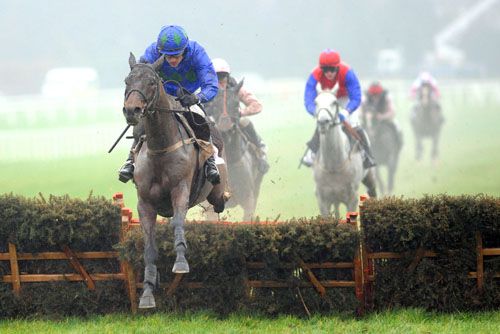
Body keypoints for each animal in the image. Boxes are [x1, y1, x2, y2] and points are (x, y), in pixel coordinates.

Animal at [123, 54, 229, 308]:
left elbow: (178, 223)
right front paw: (147, 292)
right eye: (126, 81)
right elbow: (149, 246)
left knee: (219, 200)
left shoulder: (180, 189)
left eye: (152, 82)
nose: (132, 110)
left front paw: (180, 262)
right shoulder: (145, 203)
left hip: (216, 190)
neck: (160, 148)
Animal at [310, 90, 376, 219]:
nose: (323, 121)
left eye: (334, 102)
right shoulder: (322, 199)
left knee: (372, 190)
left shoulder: (352, 198)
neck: (333, 165)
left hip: (369, 175)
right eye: (315, 102)